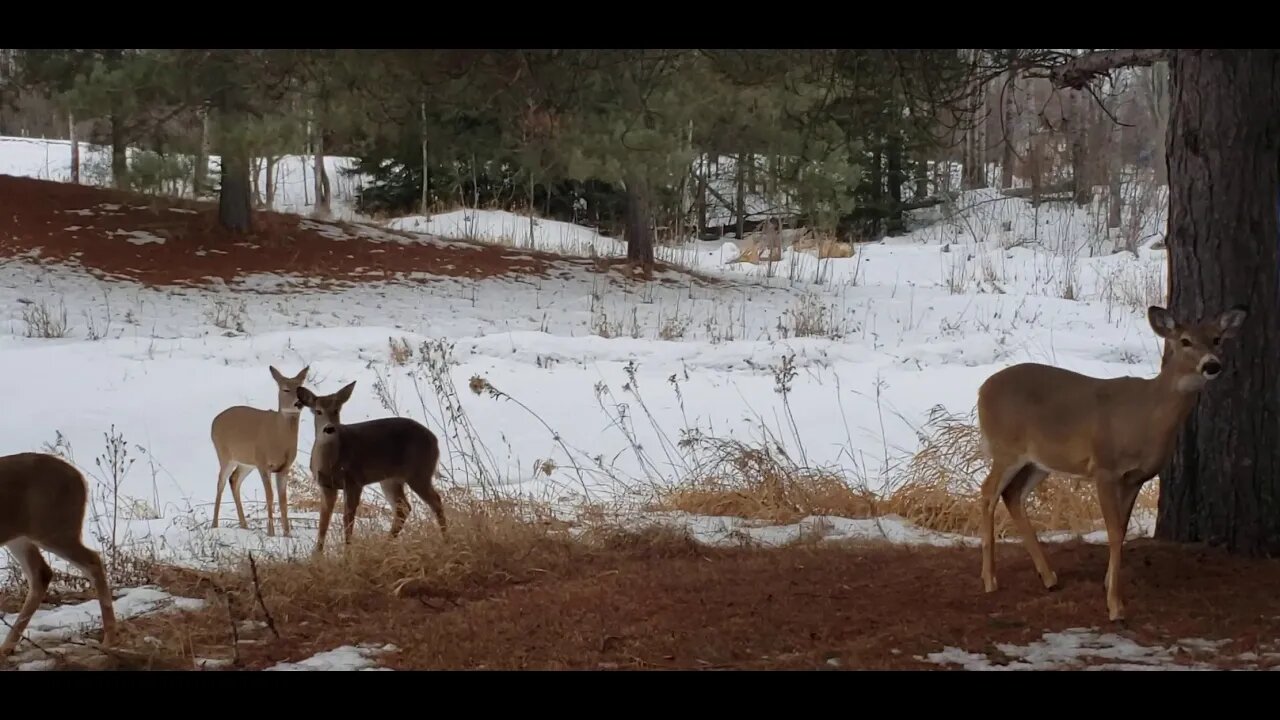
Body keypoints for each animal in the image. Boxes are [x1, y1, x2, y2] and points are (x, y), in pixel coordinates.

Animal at [0, 450, 117, 653]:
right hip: (20, 536)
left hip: (54, 527)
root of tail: (80, 478)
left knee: (92, 560)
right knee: (41, 573)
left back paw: (109, 640)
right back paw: (7, 647)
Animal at [211, 366, 311, 535]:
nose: (298, 403)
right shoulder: (263, 462)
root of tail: (214, 422)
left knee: (234, 479)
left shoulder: (284, 467)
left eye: (300, 388)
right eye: (285, 389)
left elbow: (283, 499)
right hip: (225, 454)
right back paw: (214, 525)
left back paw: (244, 525)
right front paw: (271, 532)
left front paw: (287, 534)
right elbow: (269, 495)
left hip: (247, 462)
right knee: (220, 482)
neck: (279, 439)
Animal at [295, 381, 450, 556]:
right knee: (403, 508)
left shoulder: (354, 481)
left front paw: (347, 553)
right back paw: (386, 545)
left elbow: (347, 518)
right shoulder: (326, 485)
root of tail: (435, 439)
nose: (329, 428)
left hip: (419, 472)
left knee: (435, 501)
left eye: (336, 409)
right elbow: (323, 520)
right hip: (391, 479)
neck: (331, 462)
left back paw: (446, 541)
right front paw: (317, 554)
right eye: (318, 411)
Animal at [972, 299, 1244, 620]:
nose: (1212, 365)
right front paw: (1115, 605)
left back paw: (1049, 577)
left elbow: (1122, 530)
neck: (1146, 416)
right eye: (1185, 341)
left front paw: (1108, 583)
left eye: (1217, 339)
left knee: (1012, 495)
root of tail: (982, 389)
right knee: (988, 492)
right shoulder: (1104, 467)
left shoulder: (1137, 477)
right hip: (1006, 448)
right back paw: (990, 580)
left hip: (1038, 461)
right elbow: (1113, 532)